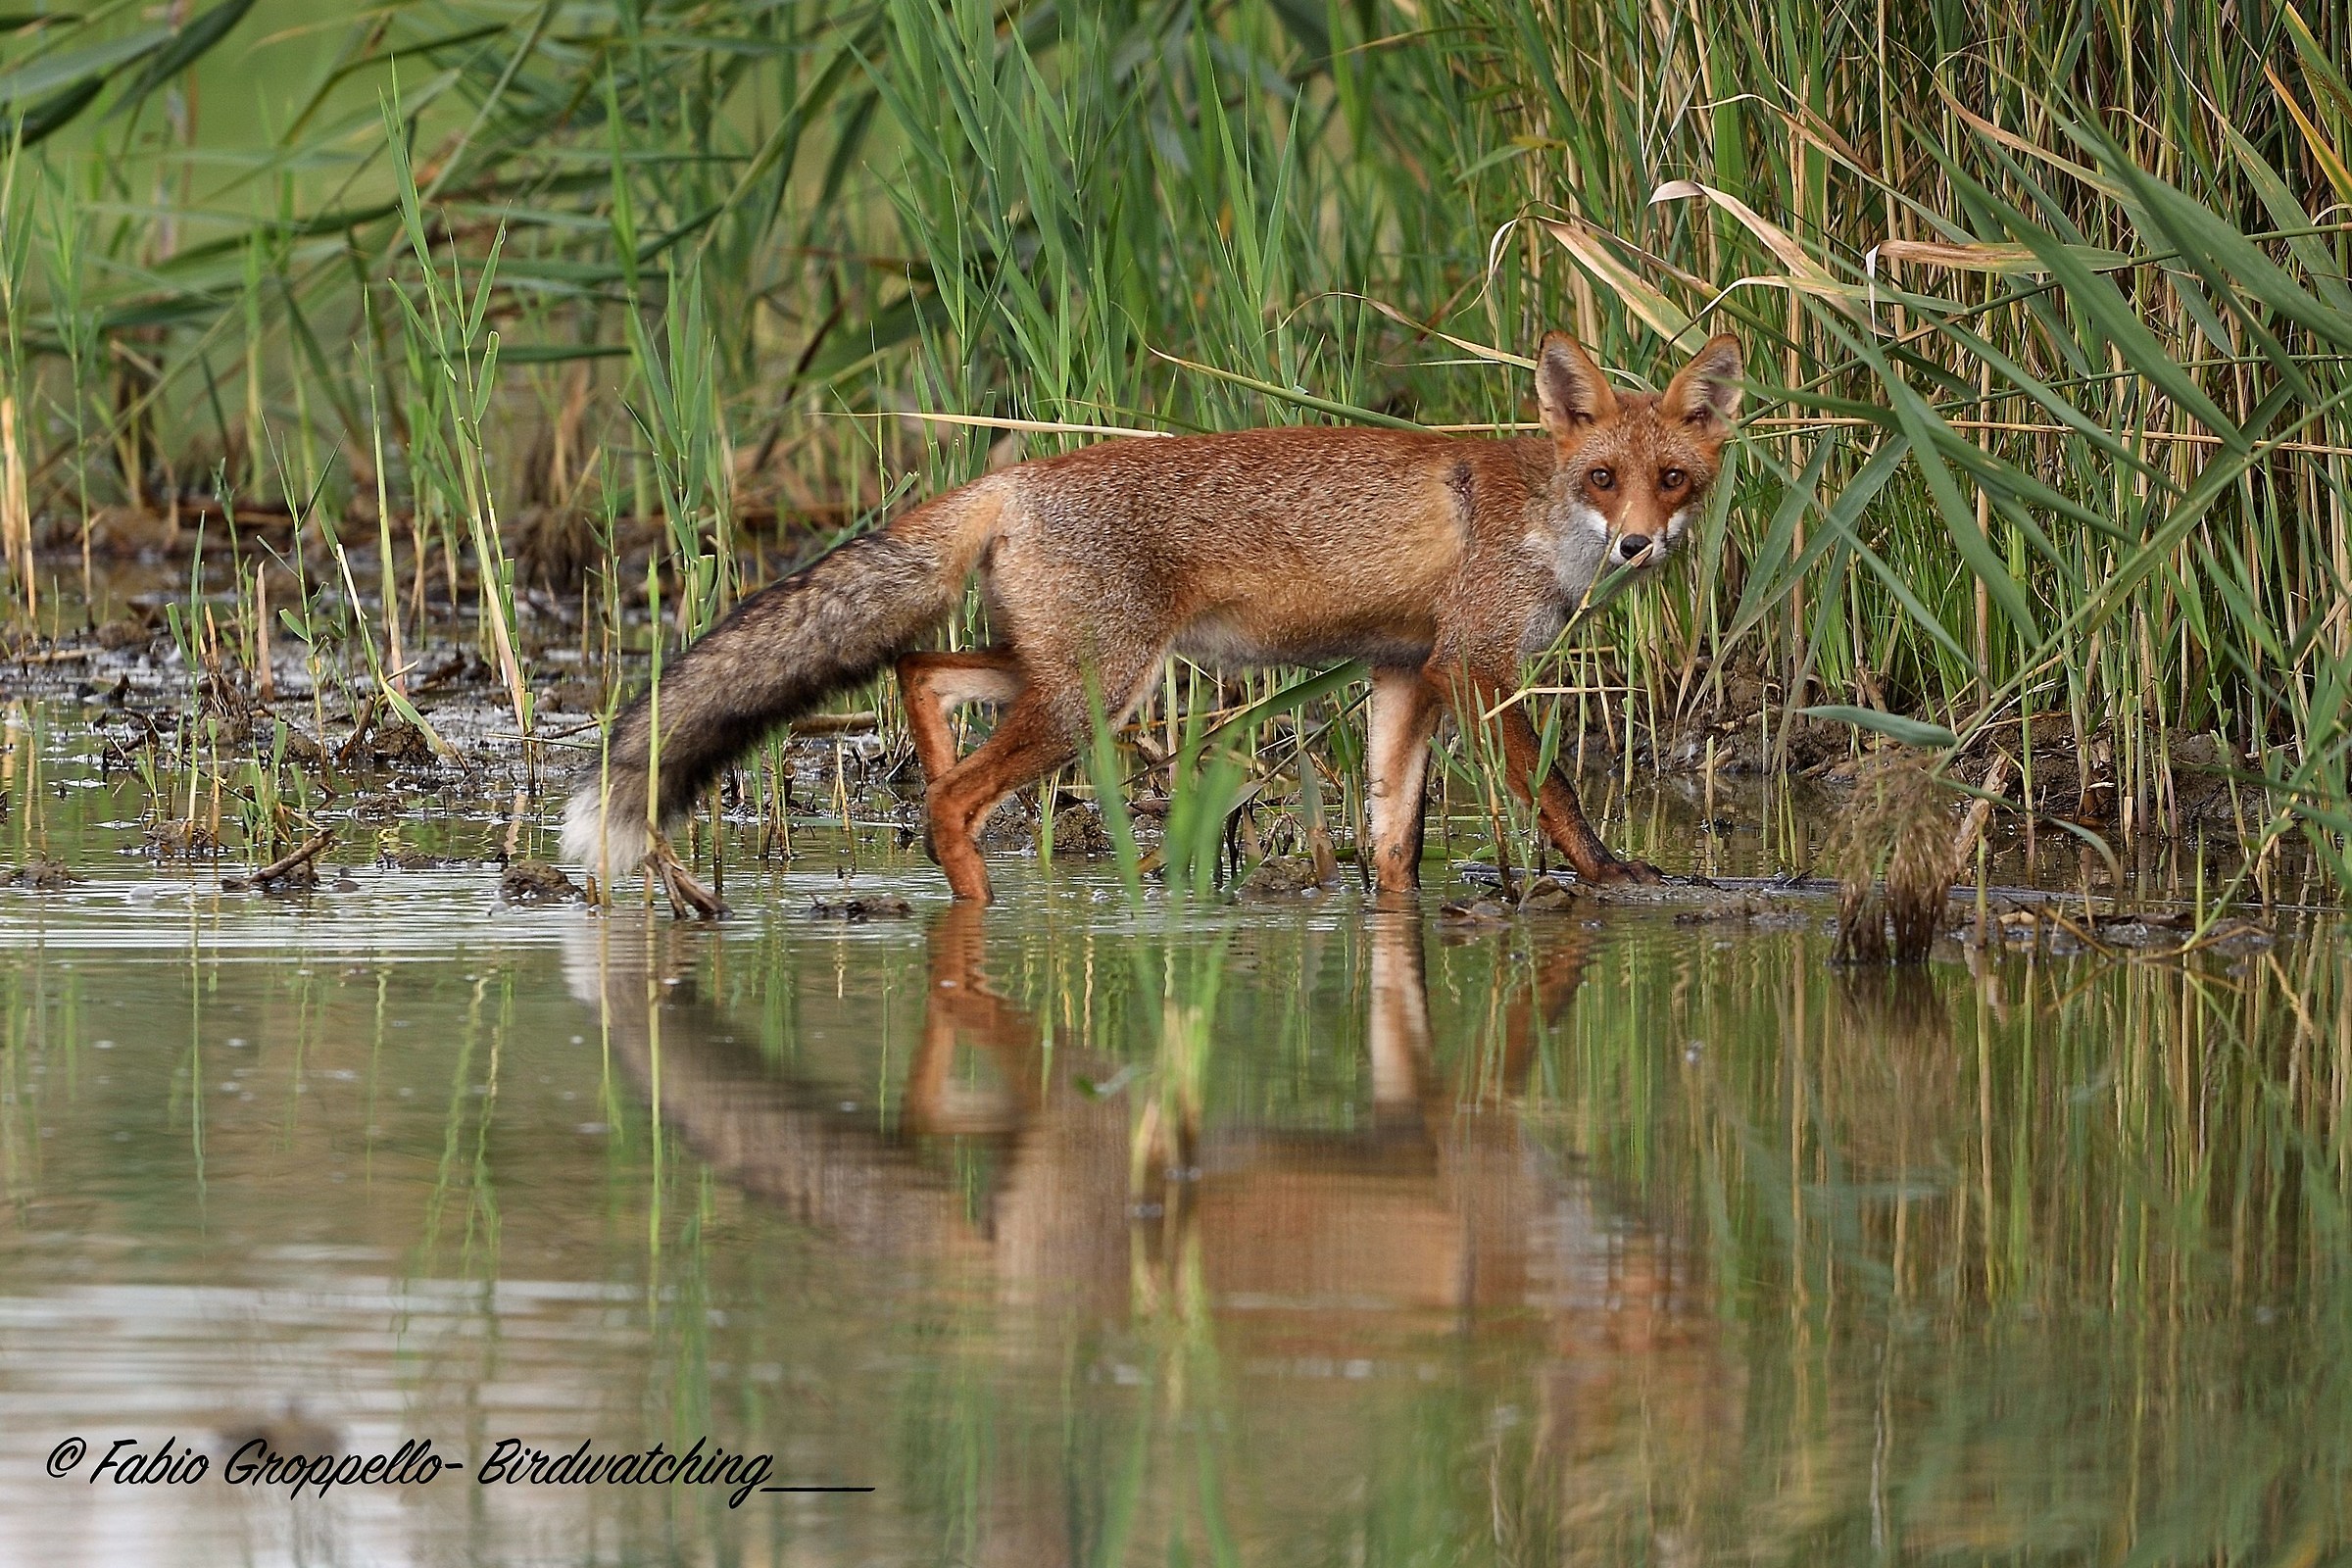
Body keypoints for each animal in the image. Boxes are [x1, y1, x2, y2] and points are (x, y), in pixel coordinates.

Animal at [561, 330, 1744, 906]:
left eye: (1673, 480)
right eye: (1602, 478)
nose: (1639, 546)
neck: (1538, 520)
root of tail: (1016, 477)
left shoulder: (1404, 671)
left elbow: (1393, 839)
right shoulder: (1475, 664)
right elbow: (1553, 787)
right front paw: (1611, 875)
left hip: (1061, 673)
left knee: (917, 673)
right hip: (1093, 699)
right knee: (948, 797)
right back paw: (977, 902)